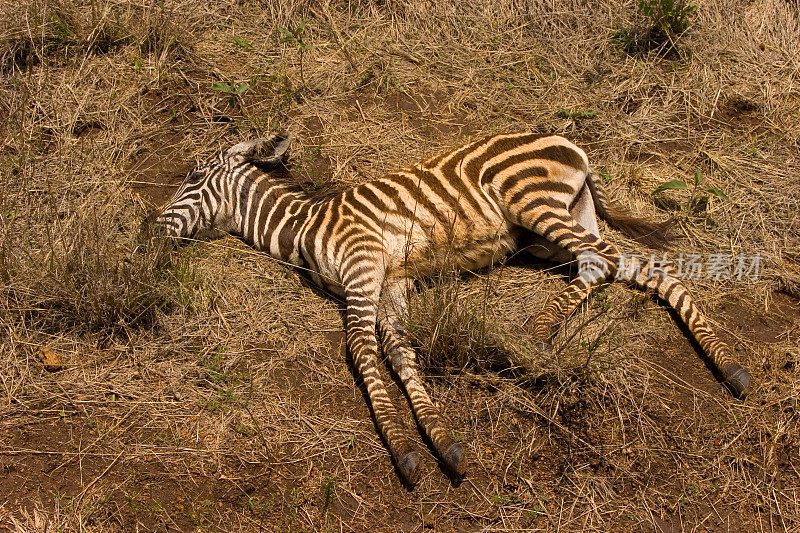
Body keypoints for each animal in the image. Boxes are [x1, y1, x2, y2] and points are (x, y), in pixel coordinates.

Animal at [148, 131, 752, 484]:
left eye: (194, 179)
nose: (149, 232)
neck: (305, 228)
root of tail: (567, 140)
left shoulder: (364, 269)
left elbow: (362, 352)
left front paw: (402, 451)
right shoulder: (388, 285)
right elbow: (402, 355)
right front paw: (440, 441)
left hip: (533, 204)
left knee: (625, 262)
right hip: (553, 229)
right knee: (618, 266)